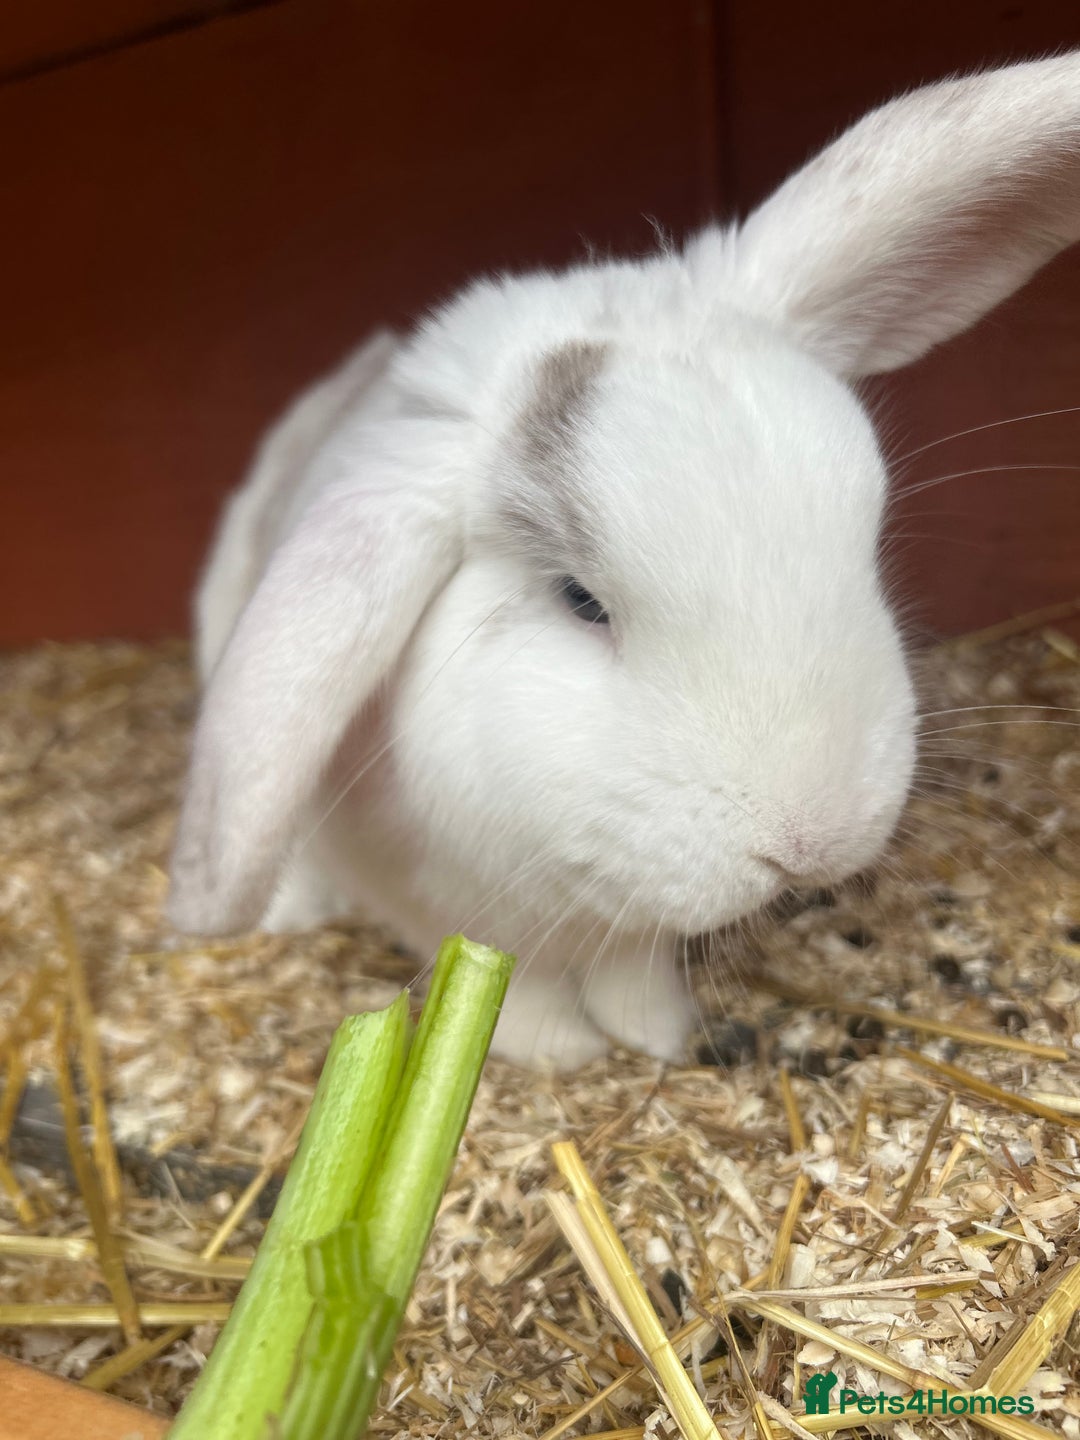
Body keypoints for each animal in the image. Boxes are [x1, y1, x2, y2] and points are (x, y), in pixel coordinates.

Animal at [169, 53, 1080, 1069]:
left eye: (865, 535)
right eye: (581, 601)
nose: (814, 840)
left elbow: (634, 968)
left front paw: (658, 1035)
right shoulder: (435, 902)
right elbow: (508, 979)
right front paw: (556, 1053)